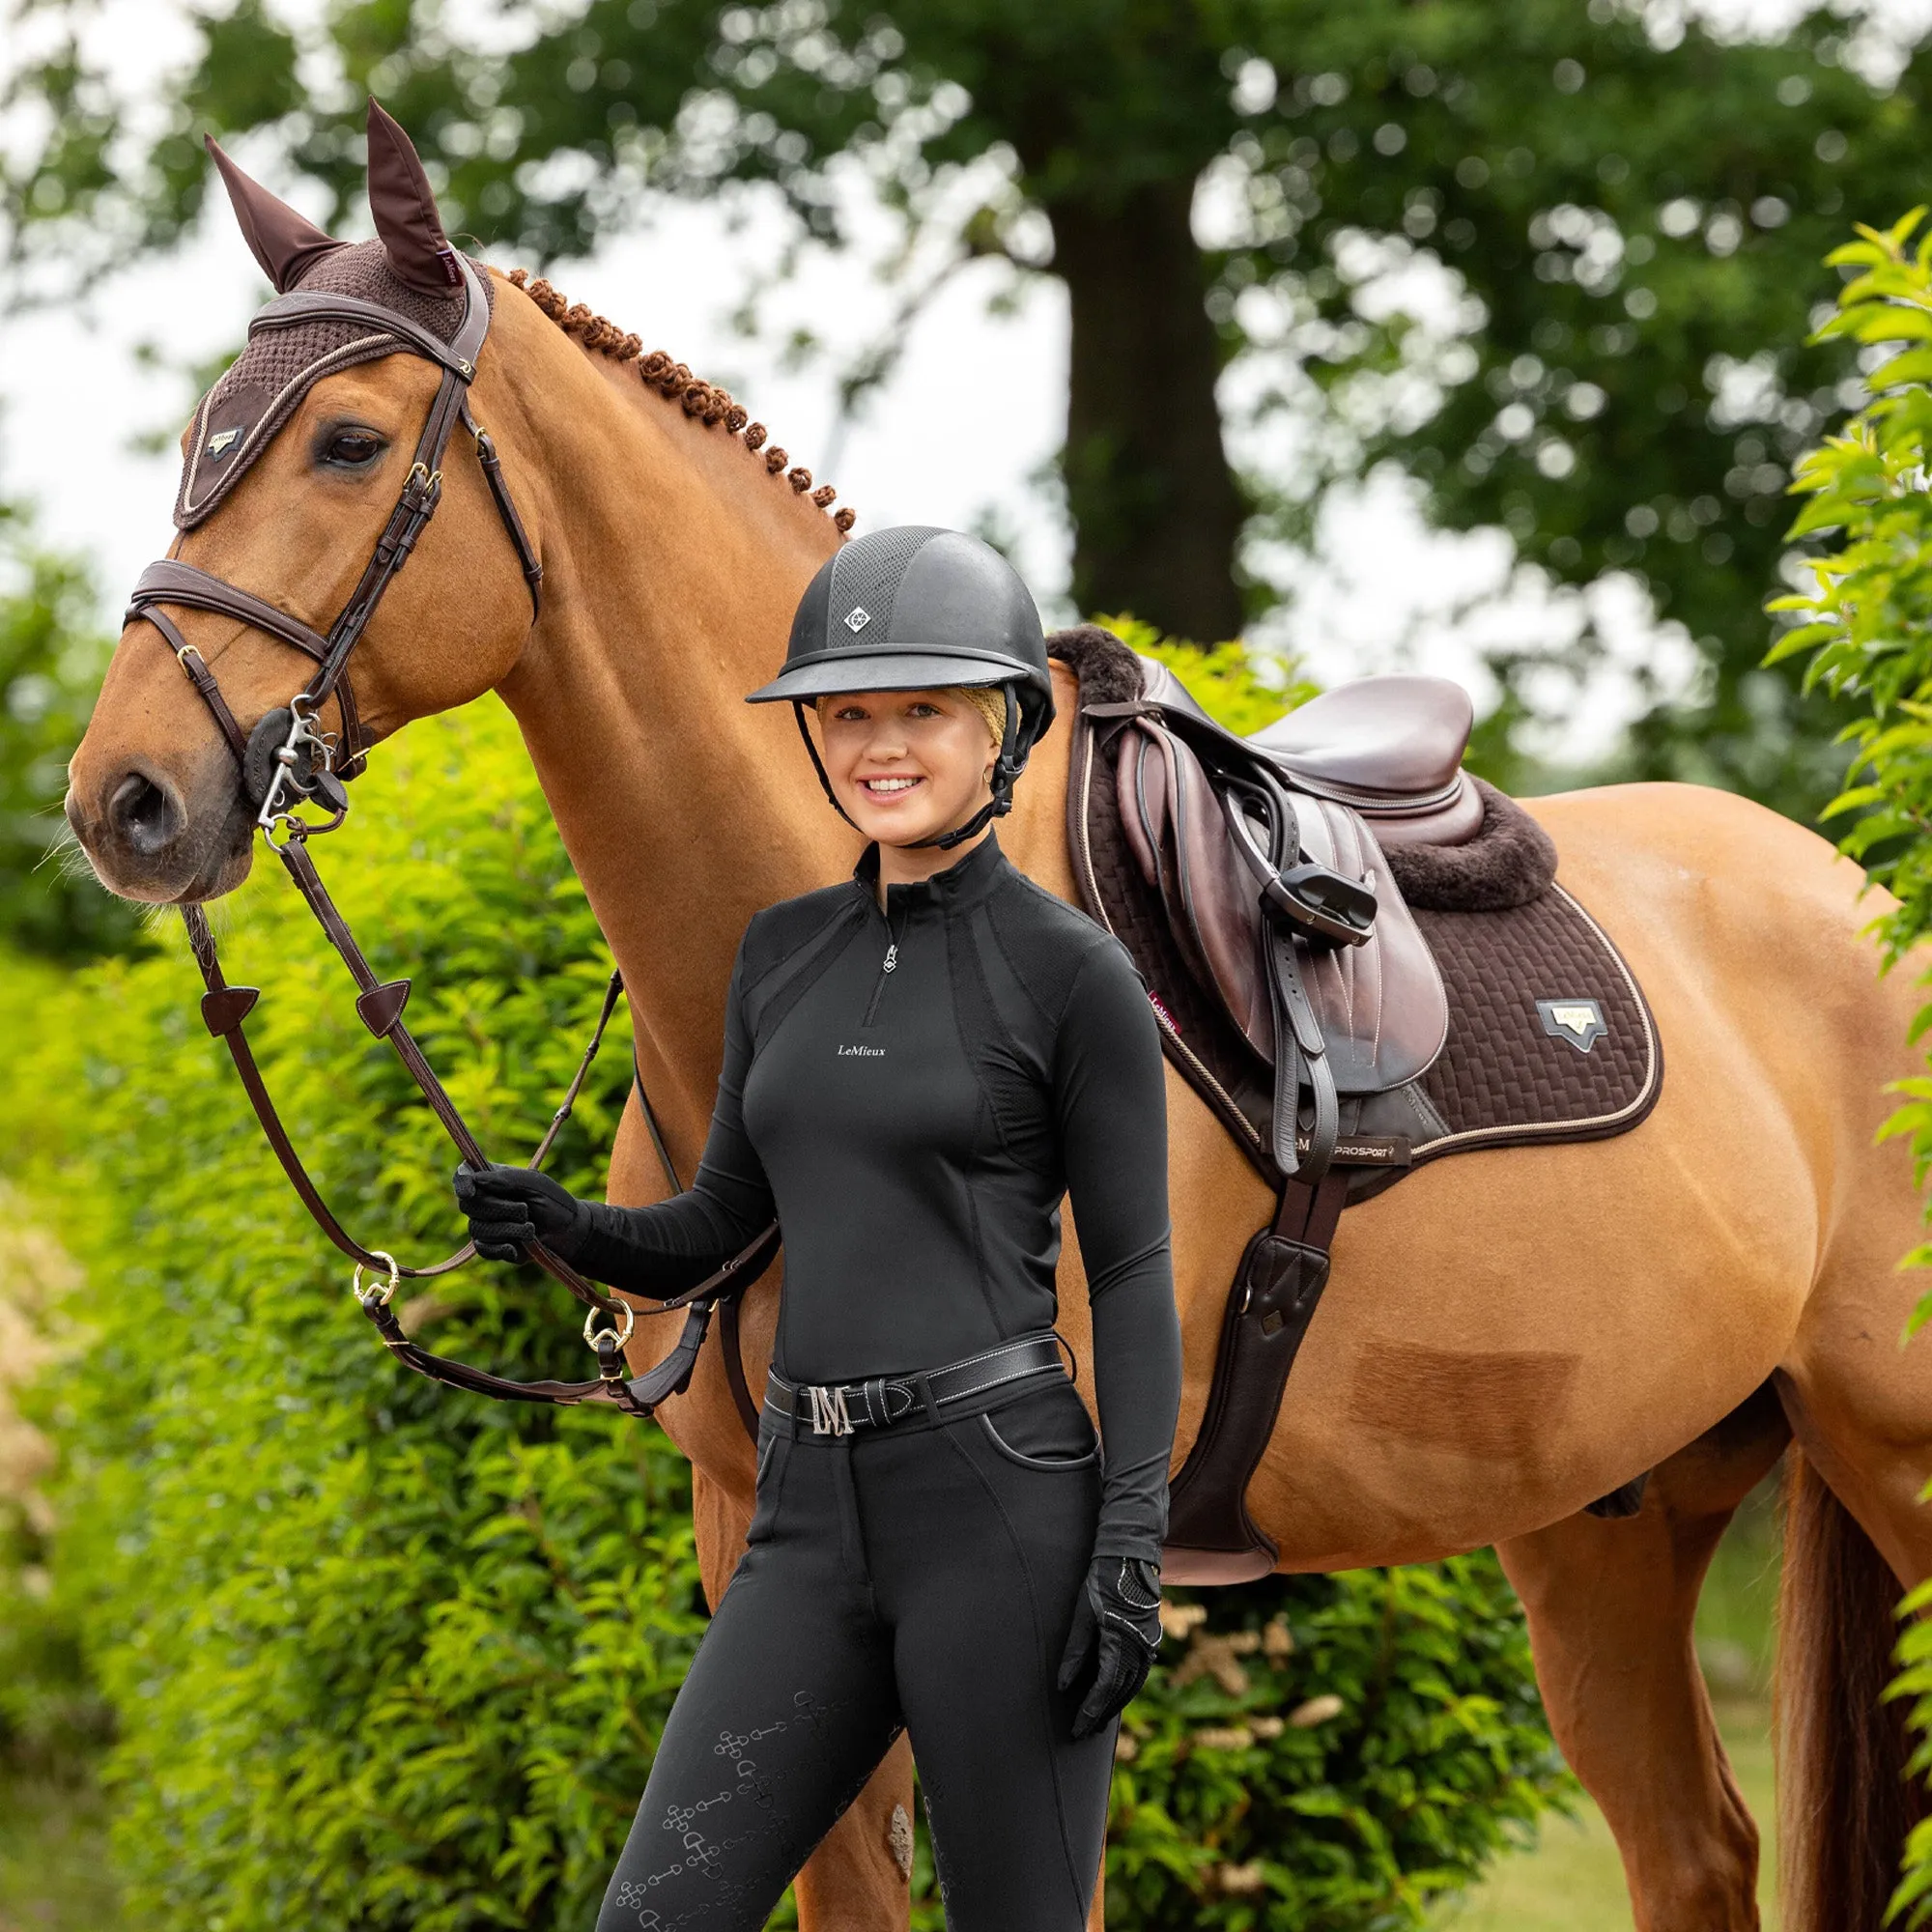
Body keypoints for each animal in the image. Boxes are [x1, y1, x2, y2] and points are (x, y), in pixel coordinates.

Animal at [60, 136, 1932, 1932]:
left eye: (347, 441)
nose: (122, 799)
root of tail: (1858, 896)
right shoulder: (760, 1540)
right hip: (1609, 1515)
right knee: (1697, 1858)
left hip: (1887, 1459)